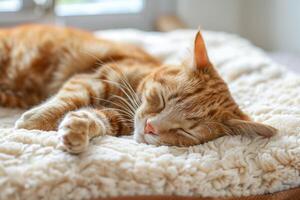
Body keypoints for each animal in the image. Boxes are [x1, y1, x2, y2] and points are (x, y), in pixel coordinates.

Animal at [0, 24, 276, 153]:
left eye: (185, 131)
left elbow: (95, 117)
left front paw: (76, 129)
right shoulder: (99, 76)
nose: (151, 127)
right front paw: (34, 120)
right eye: (163, 99)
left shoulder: (117, 120)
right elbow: (71, 97)